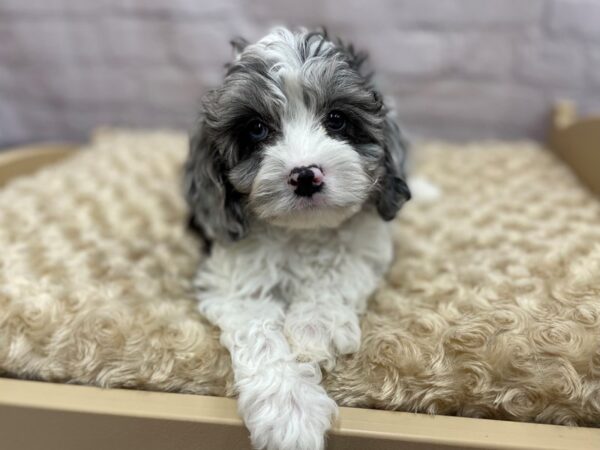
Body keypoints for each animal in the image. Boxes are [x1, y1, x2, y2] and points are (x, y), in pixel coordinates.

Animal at [183, 27, 410, 450]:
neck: (303, 232)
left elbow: (339, 273)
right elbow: (259, 333)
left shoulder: (366, 246)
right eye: (257, 129)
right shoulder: (235, 281)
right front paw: (290, 412)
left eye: (336, 120)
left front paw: (312, 329)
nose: (305, 175)